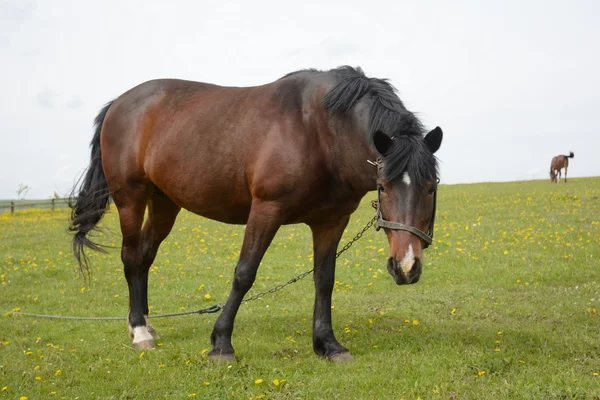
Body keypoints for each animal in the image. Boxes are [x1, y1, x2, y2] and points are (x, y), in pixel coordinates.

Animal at [71, 66, 446, 362]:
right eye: (383, 186)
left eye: (430, 187)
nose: (406, 267)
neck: (320, 130)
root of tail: (119, 103)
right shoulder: (267, 209)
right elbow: (244, 273)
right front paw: (221, 343)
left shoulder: (332, 221)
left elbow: (324, 279)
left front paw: (328, 345)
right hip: (130, 198)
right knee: (132, 257)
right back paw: (139, 331)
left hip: (165, 202)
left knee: (146, 257)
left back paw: (147, 324)